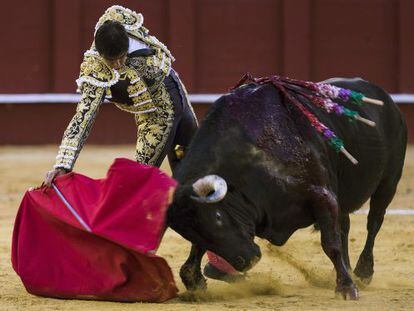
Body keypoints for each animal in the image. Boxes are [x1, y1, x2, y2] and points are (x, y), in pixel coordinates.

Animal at [167, 77, 406, 300]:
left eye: (217, 216)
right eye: (188, 232)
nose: (247, 261)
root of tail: (385, 98)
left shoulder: (323, 196)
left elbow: (331, 244)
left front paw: (347, 288)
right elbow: (197, 248)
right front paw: (194, 279)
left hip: (388, 182)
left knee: (374, 222)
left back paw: (363, 272)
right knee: (345, 225)